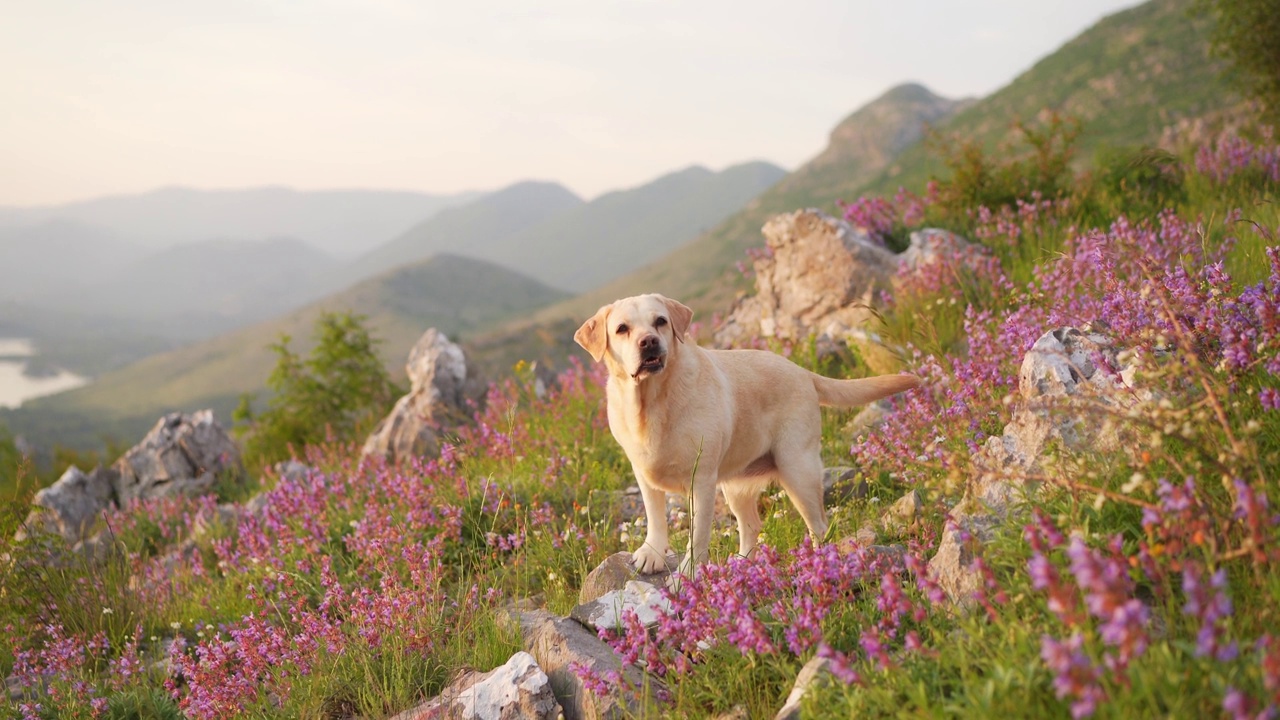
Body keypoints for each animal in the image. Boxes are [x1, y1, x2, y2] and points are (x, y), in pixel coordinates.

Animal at [578, 288, 921, 573]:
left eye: (660, 321)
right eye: (622, 329)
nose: (649, 341)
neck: (651, 403)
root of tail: (803, 371)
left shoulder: (701, 480)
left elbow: (698, 535)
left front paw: (689, 572)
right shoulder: (643, 472)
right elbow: (654, 516)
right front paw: (652, 552)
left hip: (797, 470)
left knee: (819, 525)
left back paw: (818, 561)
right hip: (736, 486)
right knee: (752, 525)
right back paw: (744, 564)